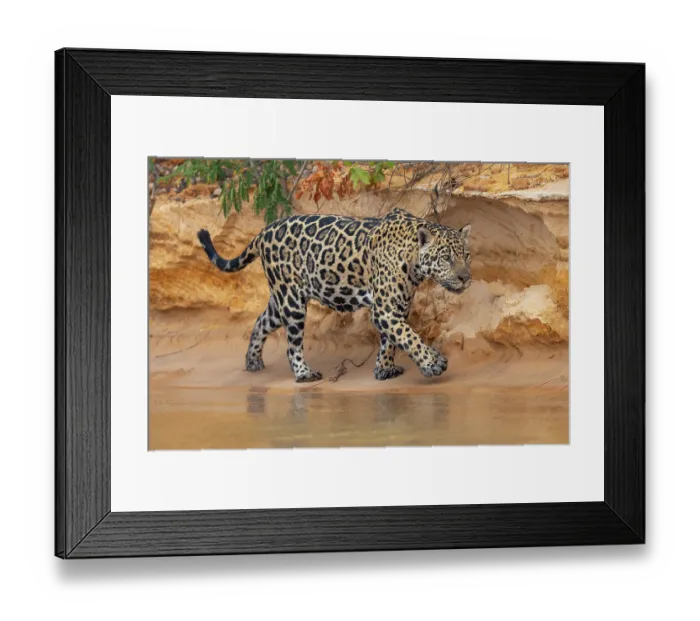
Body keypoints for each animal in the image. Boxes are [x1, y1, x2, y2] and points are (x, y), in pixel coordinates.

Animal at [197, 208, 472, 383]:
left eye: (467, 255)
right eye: (446, 258)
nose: (465, 278)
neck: (413, 259)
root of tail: (264, 232)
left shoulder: (397, 307)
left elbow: (391, 340)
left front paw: (384, 369)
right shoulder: (385, 309)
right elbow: (408, 336)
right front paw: (432, 363)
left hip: (281, 300)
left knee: (260, 321)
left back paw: (253, 362)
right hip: (292, 302)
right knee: (292, 346)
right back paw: (303, 374)